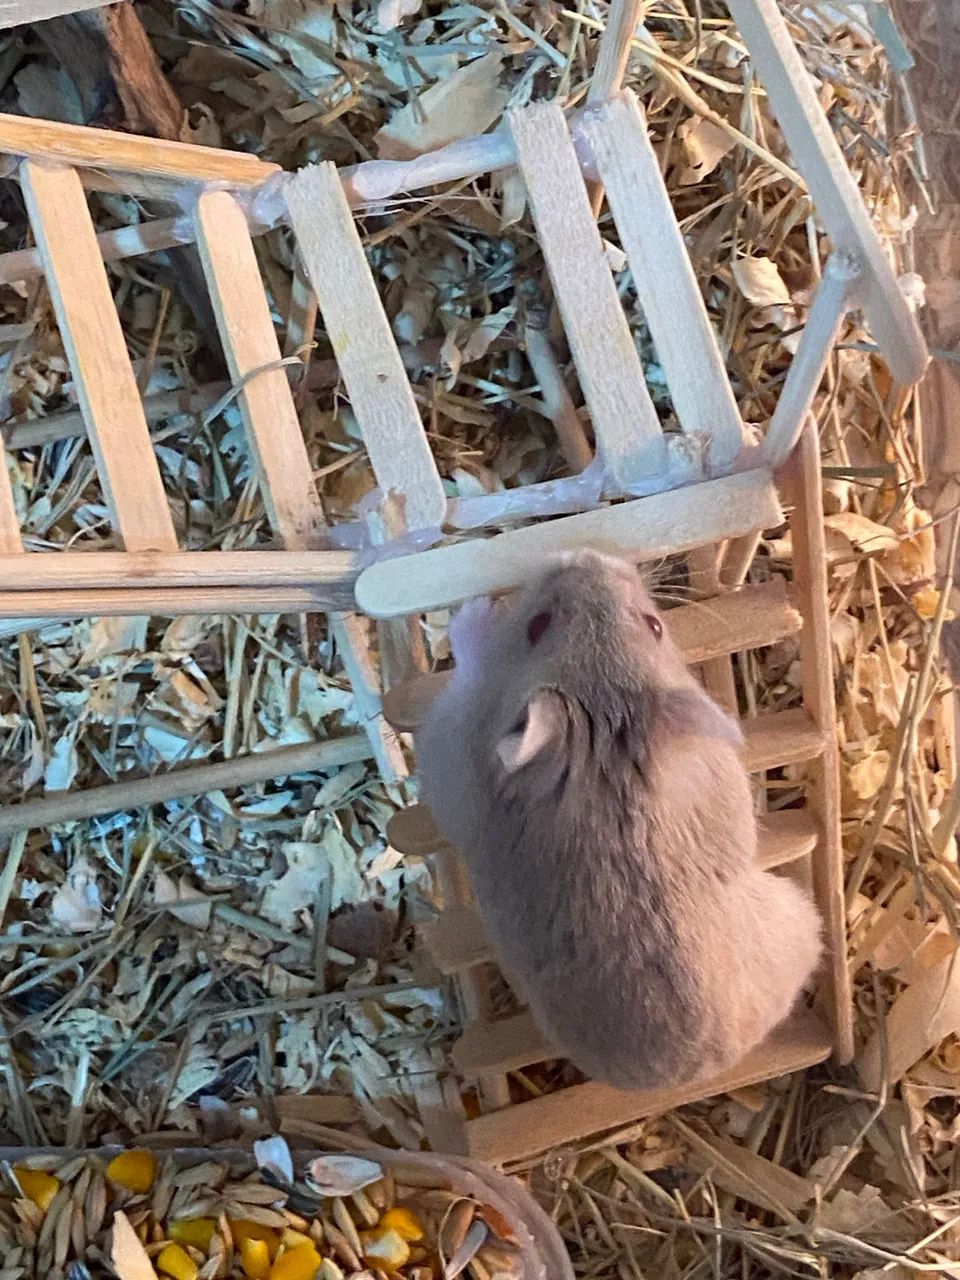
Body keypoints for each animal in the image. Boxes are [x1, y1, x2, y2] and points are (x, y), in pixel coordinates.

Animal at [416, 549, 822, 1092]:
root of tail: (685, 1078)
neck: (601, 742)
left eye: (655, 624)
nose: (581, 553)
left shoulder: (455, 751)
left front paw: (474, 612)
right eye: (538, 625)